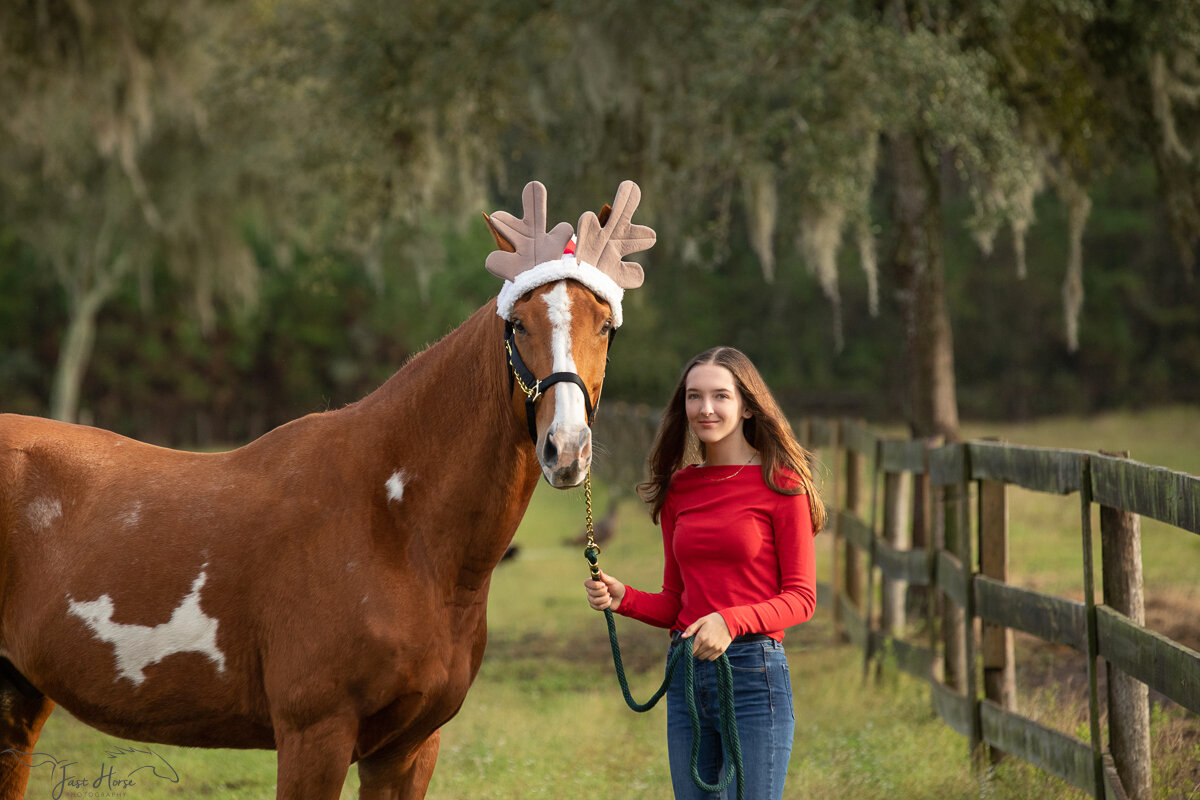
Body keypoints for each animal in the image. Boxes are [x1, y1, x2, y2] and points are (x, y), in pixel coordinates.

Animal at [0, 183, 657, 800]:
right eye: (517, 324)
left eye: (604, 326)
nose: (565, 449)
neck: (397, 532)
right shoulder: (314, 735)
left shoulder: (408, 749)